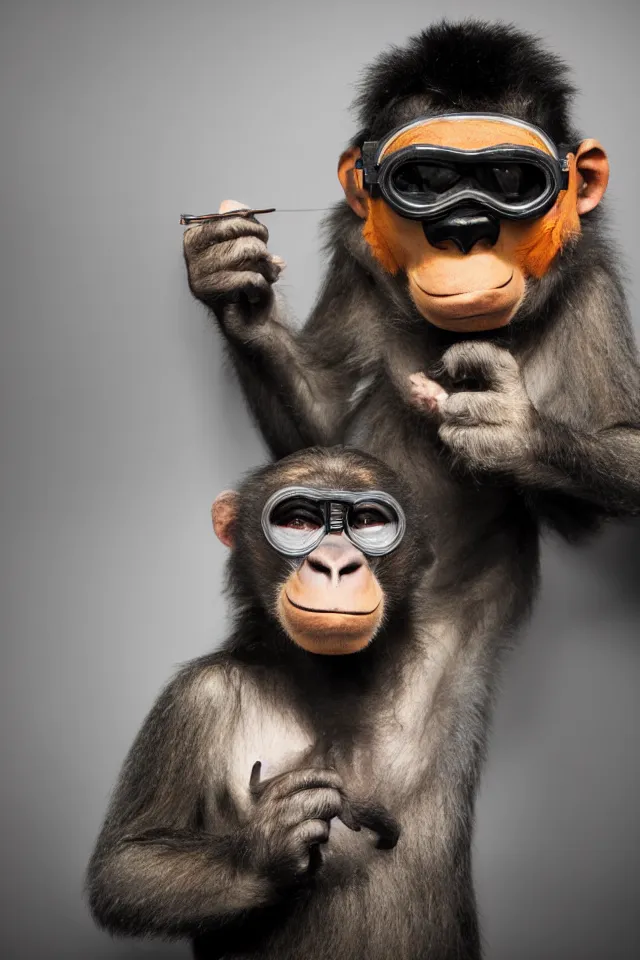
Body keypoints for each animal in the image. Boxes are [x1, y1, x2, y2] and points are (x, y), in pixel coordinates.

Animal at [86, 448, 510, 960]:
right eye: (298, 522)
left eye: (367, 521)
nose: (335, 564)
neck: (332, 675)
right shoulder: (194, 700)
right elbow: (128, 865)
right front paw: (271, 847)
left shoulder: (455, 609)